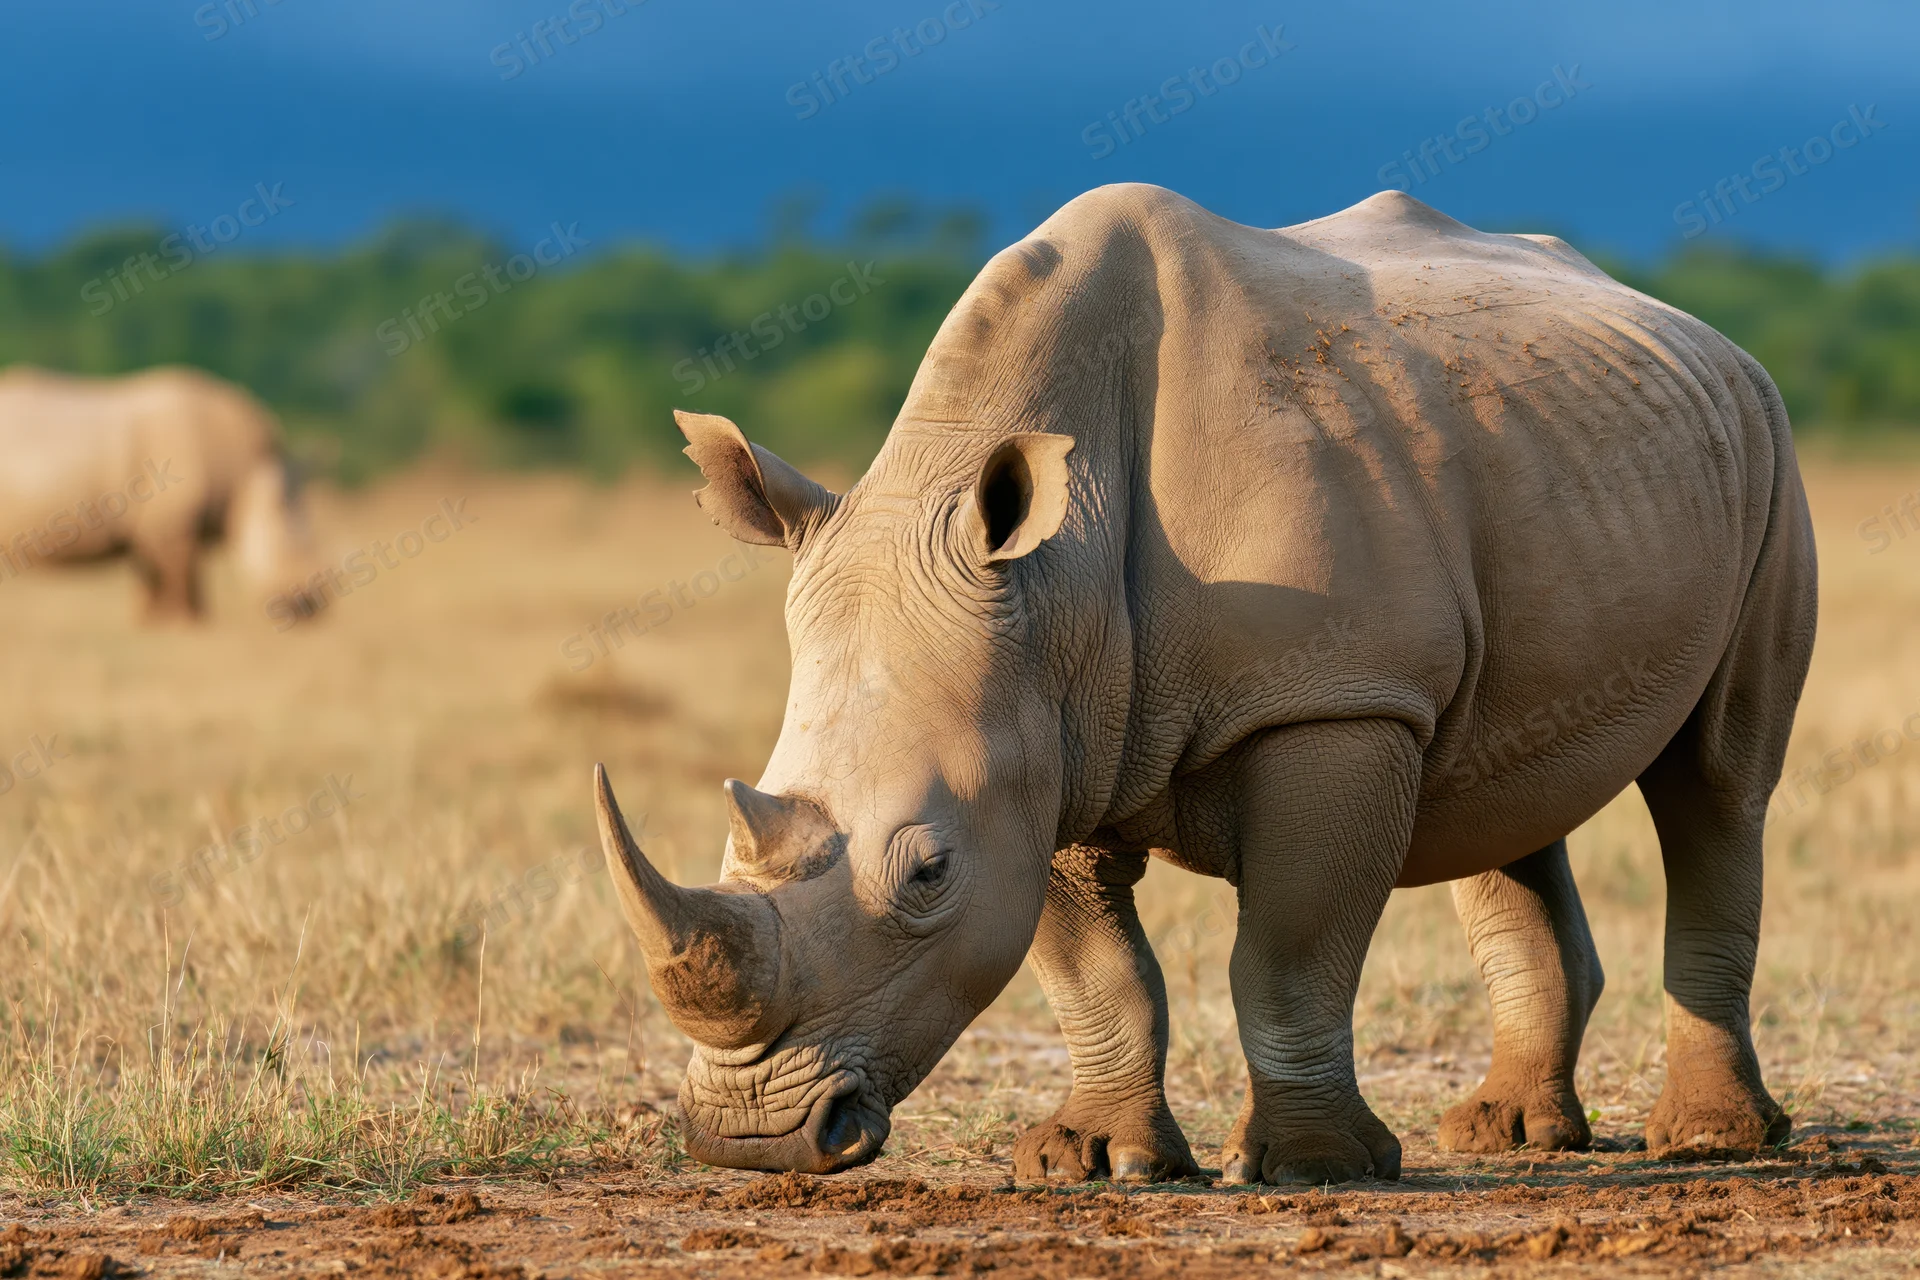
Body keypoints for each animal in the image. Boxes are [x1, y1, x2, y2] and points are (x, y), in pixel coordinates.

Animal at [0, 365, 322, 622]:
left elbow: (154, 579)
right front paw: (184, 624)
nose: (314, 607)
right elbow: (180, 577)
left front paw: (151, 625)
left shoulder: (153, 526)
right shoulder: (170, 524)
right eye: (291, 549)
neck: (250, 470)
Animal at [592, 185, 1816, 1184]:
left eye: (929, 871)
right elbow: (1099, 972)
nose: (754, 1140)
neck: (1057, 580)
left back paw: (1708, 1140)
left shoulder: (1332, 695)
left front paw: (1316, 1169)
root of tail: (1683, 319)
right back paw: (1507, 1134)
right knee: (1504, 794)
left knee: (1717, 782)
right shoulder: (1050, 732)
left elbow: (1287, 948)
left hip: (1767, 445)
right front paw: (1092, 1161)